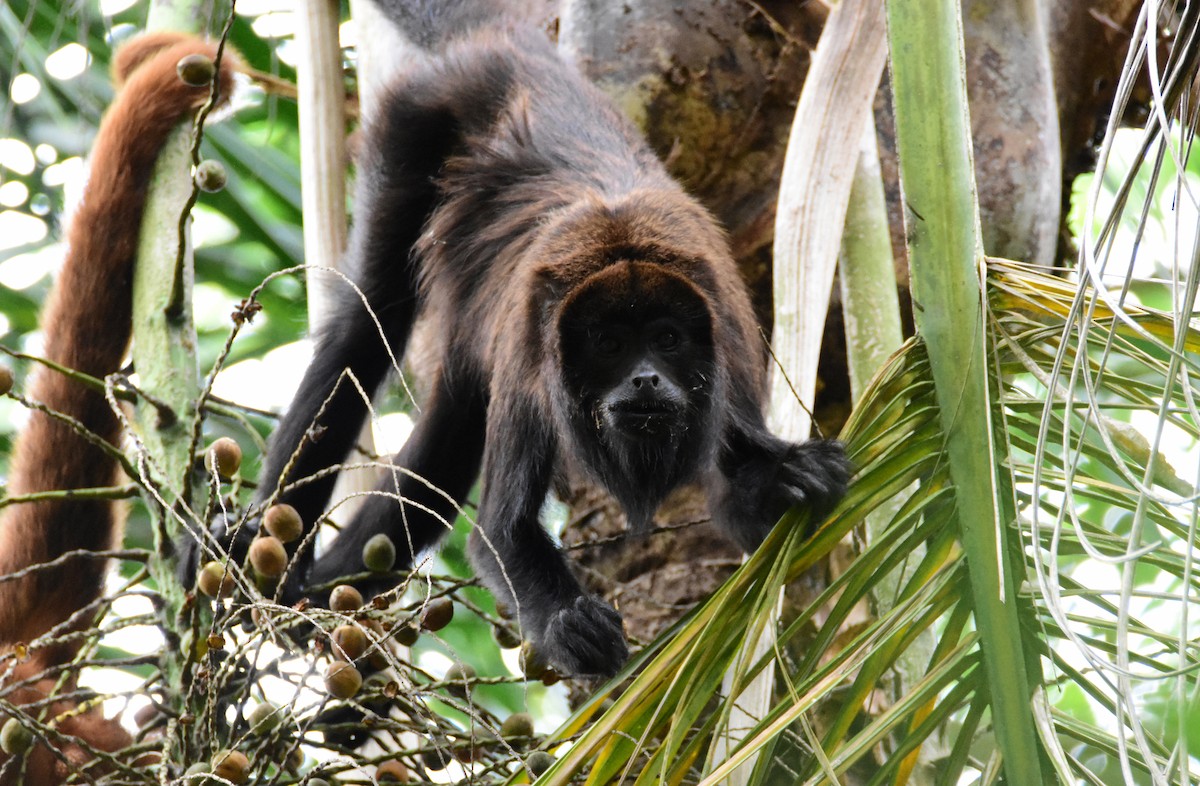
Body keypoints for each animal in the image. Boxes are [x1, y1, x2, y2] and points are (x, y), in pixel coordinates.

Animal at [198, 0, 850, 679]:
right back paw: (265, 563)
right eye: (610, 344)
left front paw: (783, 480)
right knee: (365, 326)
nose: (645, 377)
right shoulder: (529, 345)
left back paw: (318, 595)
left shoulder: (732, 332)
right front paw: (568, 623)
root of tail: (515, 45)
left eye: (667, 338)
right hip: (415, 116)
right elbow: (502, 531)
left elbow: (735, 501)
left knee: (450, 435)